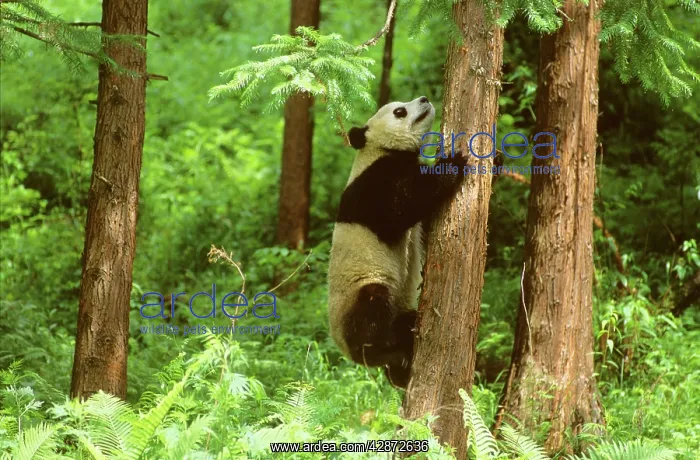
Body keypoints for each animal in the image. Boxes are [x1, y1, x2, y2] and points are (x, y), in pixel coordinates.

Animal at [327, 96, 468, 389]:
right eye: (400, 111)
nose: (424, 99)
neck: (380, 149)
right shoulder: (371, 183)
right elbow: (398, 211)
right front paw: (454, 164)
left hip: (399, 307)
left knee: (403, 322)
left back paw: (400, 369)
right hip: (360, 290)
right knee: (371, 309)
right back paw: (385, 354)